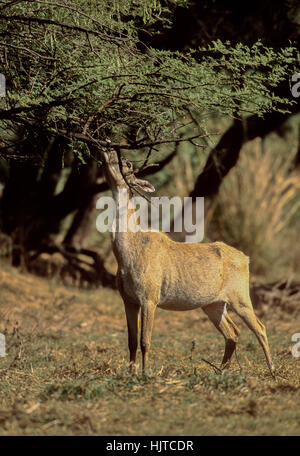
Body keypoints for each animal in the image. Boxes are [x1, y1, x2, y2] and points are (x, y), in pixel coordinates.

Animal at [102, 149, 276, 378]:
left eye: (128, 164)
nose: (109, 149)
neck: (128, 253)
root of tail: (246, 259)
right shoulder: (128, 299)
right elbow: (131, 341)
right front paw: (130, 373)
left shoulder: (150, 296)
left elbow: (144, 340)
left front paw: (145, 374)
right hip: (213, 304)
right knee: (233, 332)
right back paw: (220, 370)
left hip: (240, 296)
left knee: (260, 327)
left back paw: (272, 370)